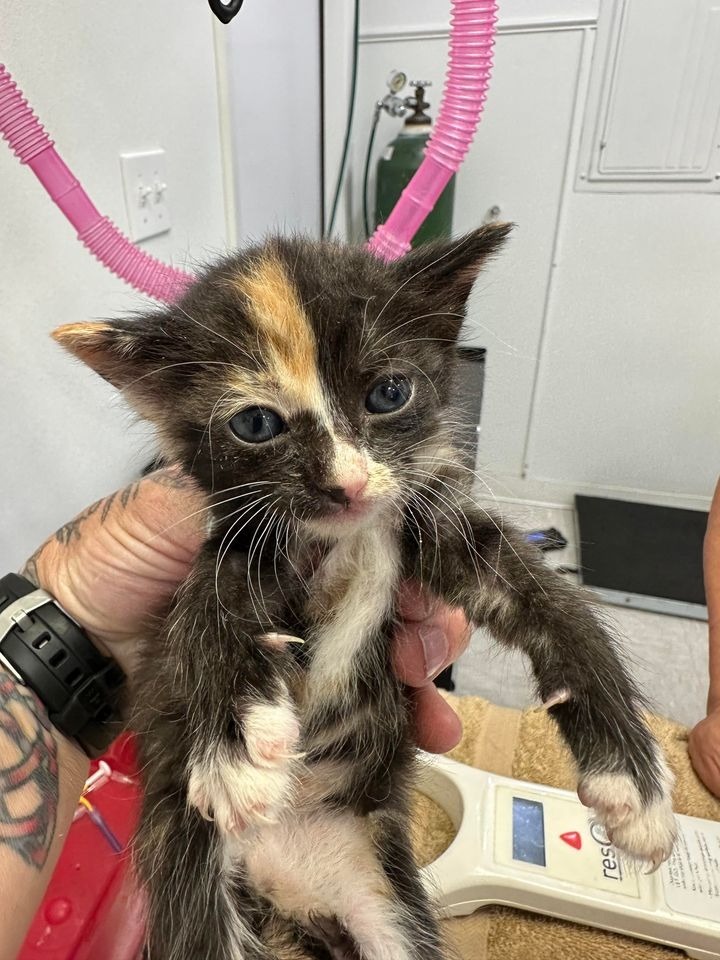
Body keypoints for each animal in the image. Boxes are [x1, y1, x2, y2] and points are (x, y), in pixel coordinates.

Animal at [54, 227, 676, 960]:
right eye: (256, 425)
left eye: (389, 392)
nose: (346, 485)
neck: (349, 534)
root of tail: (288, 887)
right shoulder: (236, 539)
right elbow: (206, 604)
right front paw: (234, 744)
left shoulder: (427, 525)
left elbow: (557, 607)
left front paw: (634, 788)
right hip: (196, 880)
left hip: (383, 893)